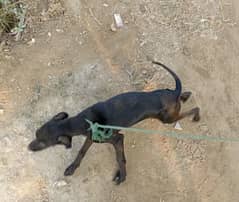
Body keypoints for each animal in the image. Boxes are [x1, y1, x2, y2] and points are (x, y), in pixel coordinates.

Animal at [28, 61, 200, 185]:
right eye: (36, 133)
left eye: (42, 143)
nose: (28, 148)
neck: (83, 121)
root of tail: (174, 93)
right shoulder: (91, 138)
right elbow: (81, 152)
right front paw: (72, 168)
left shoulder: (117, 139)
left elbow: (120, 159)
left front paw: (122, 176)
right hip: (168, 103)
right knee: (183, 96)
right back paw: (185, 95)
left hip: (168, 119)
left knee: (193, 109)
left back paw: (196, 116)